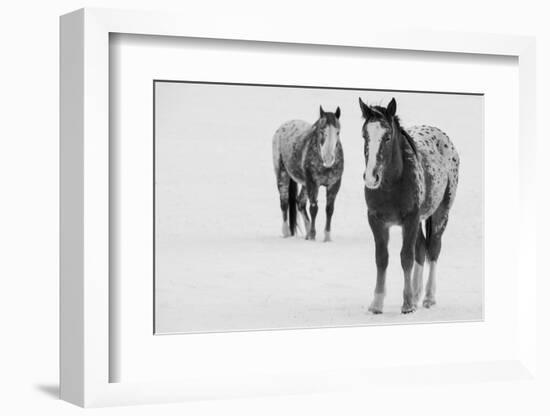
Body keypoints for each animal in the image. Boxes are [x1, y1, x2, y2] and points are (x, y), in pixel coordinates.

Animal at [272, 106, 344, 240]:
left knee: (300, 202)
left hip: (305, 184)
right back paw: (287, 233)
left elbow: (329, 209)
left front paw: (327, 238)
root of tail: (283, 127)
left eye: (338, 132)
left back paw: (306, 233)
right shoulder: (313, 184)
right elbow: (314, 208)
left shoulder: (334, 185)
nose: (328, 159)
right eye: (322, 131)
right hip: (282, 175)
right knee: (284, 203)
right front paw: (312, 236)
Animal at [362, 96, 462, 312]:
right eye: (365, 135)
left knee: (433, 248)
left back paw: (428, 297)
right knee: (421, 249)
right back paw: (417, 294)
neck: (392, 183)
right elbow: (381, 259)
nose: (371, 178)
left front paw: (407, 304)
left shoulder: (410, 219)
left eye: (387, 136)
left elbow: (406, 257)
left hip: (441, 213)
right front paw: (377, 303)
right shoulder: (376, 220)